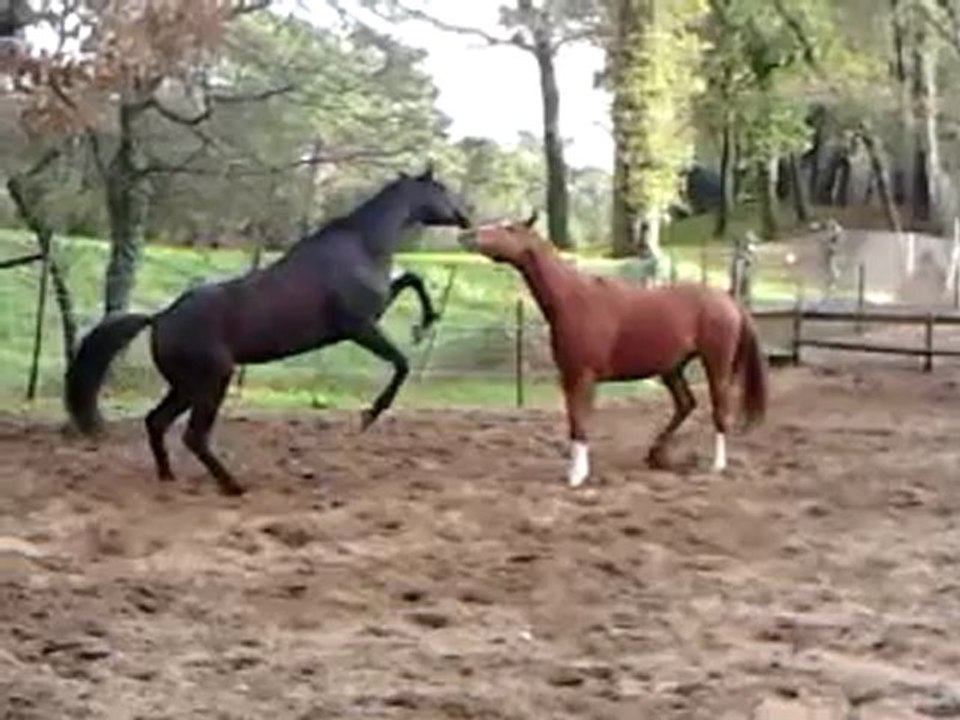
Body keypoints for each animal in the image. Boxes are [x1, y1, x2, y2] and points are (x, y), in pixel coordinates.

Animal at [64, 165, 471, 496]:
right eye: (442, 188)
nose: (465, 218)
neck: (362, 244)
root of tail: (159, 317)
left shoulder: (376, 310)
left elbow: (412, 279)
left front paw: (426, 322)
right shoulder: (360, 326)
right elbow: (401, 363)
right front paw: (369, 415)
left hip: (186, 386)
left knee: (157, 422)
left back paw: (169, 478)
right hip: (213, 380)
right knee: (194, 436)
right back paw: (233, 486)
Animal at [458, 212, 768, 487]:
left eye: (509, 228)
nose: (467, 235)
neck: (573, 299)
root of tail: (729, 301)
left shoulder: (583, 377)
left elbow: (580, 423)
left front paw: (577, 476)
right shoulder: (569, 377)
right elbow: (574, 421)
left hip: (716, 364)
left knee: (720, 409)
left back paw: (717, 464)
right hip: (672, 369)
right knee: (686, 404)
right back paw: (655, 454)